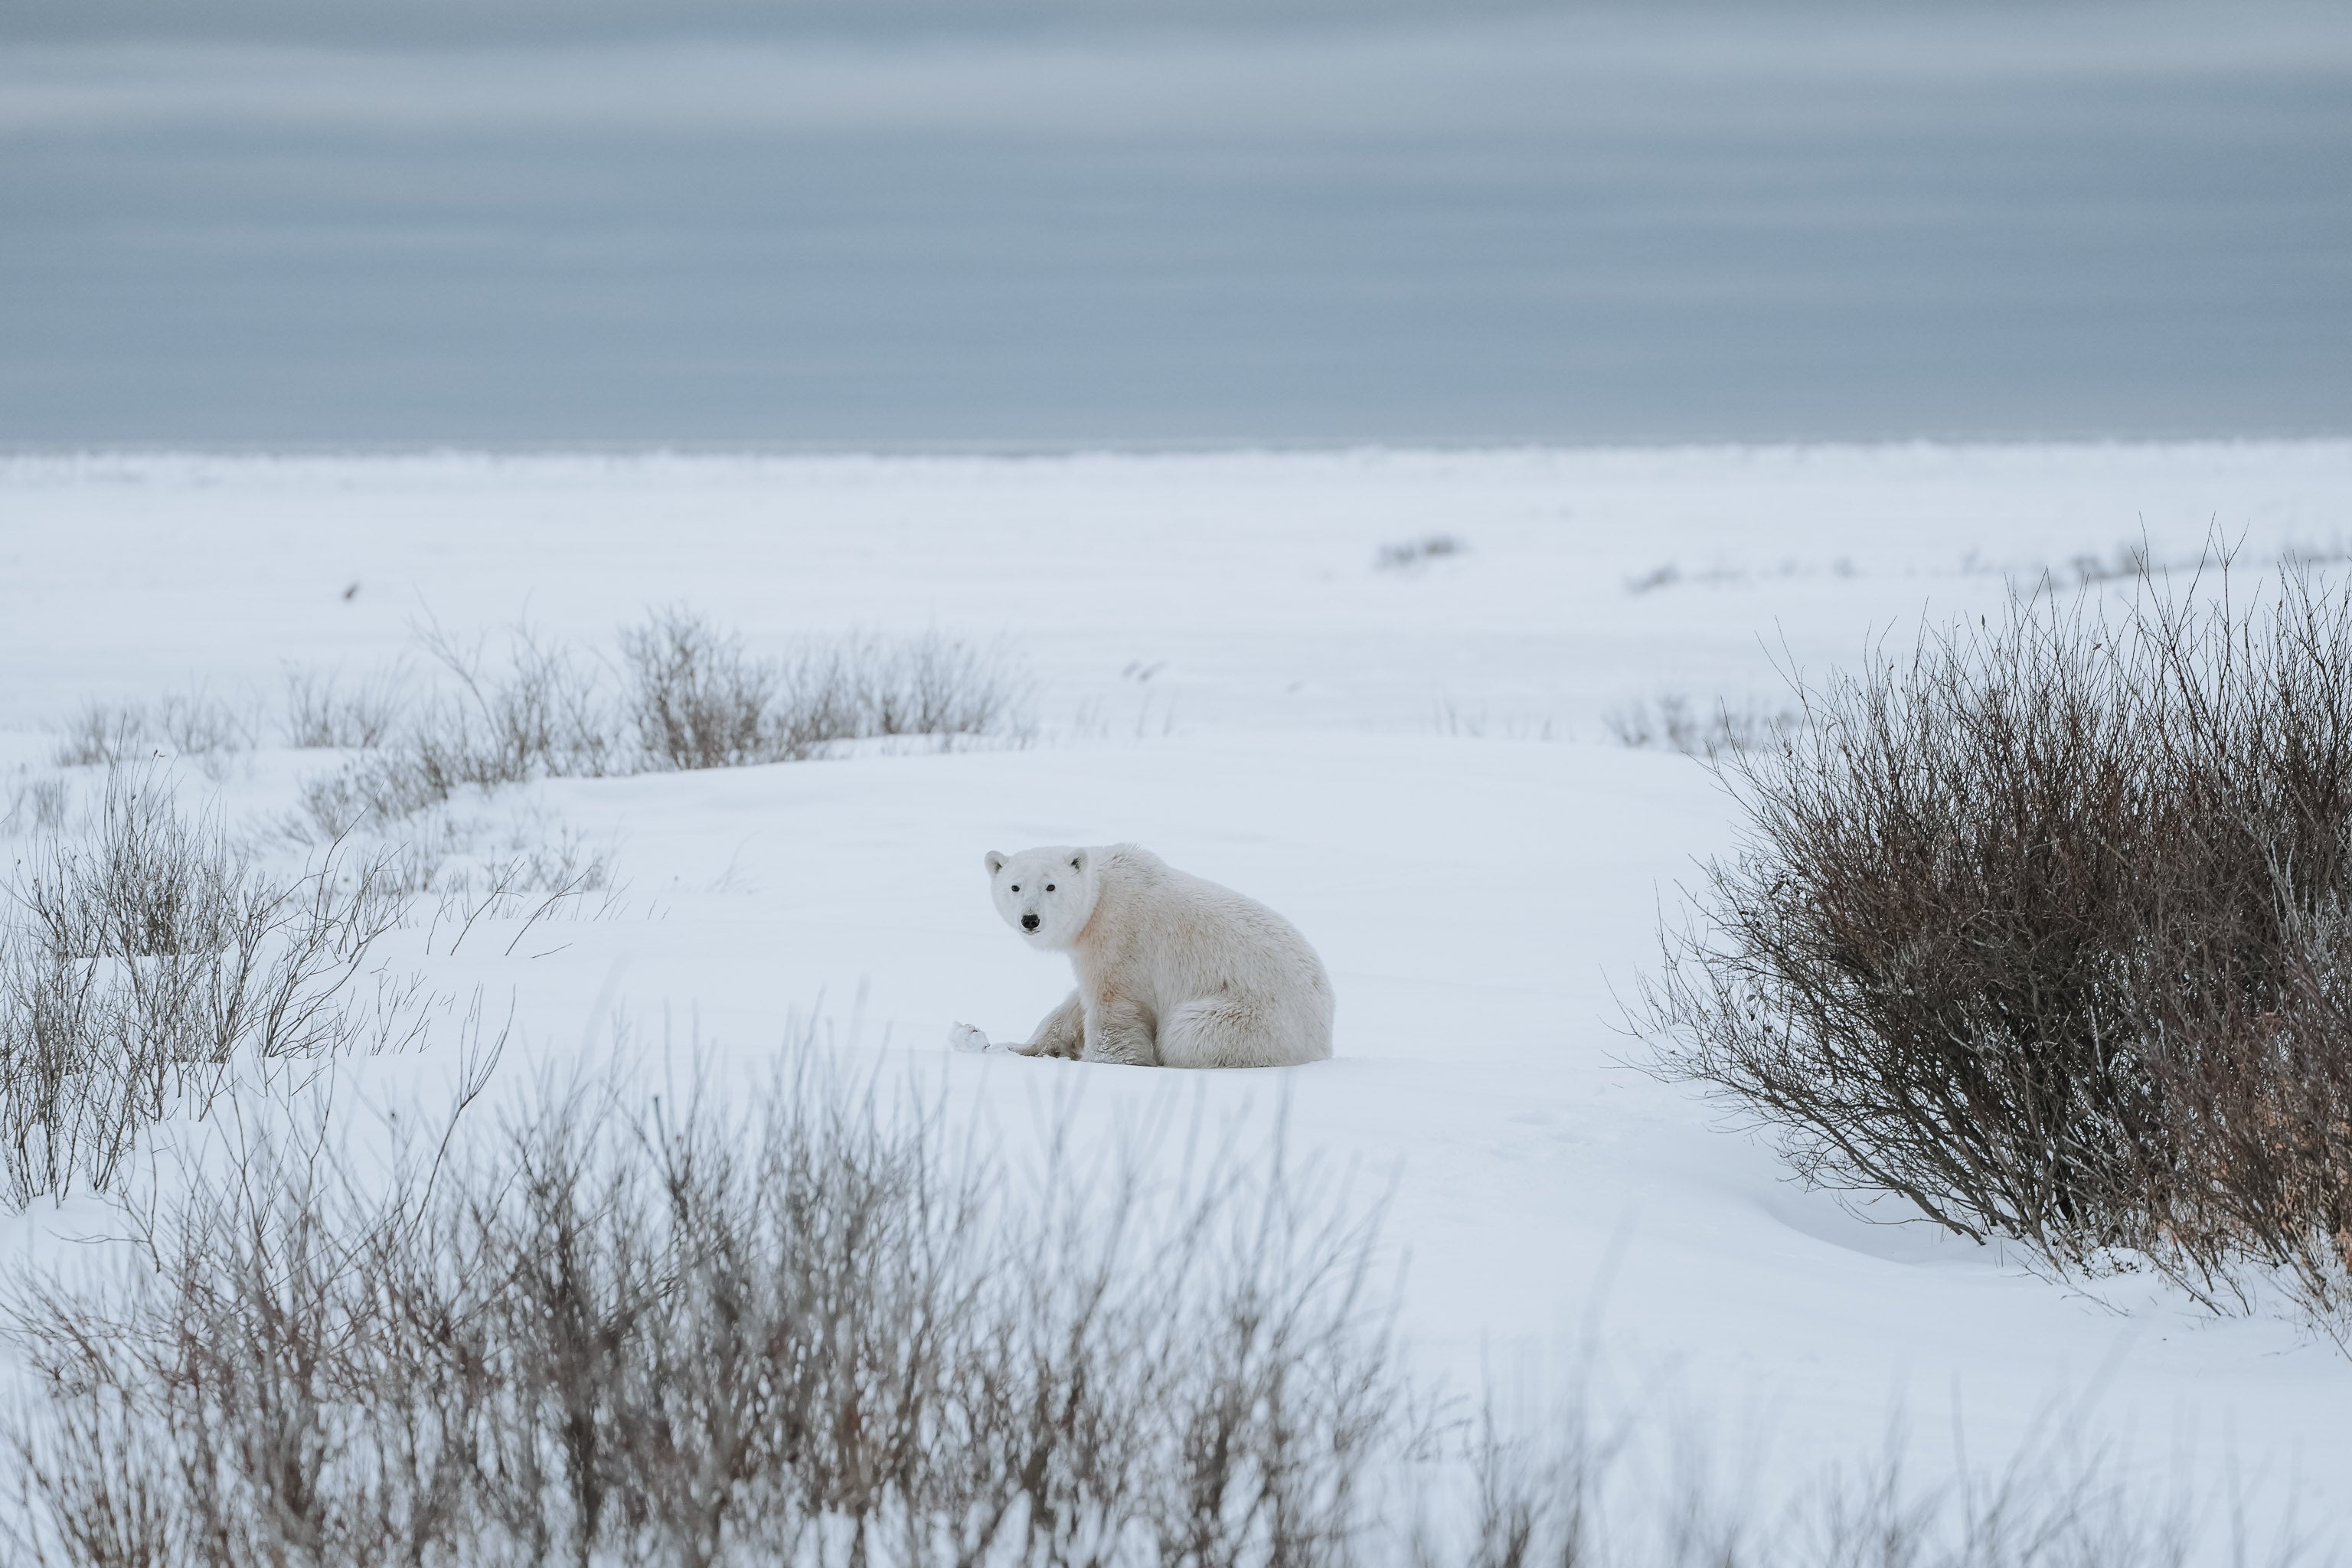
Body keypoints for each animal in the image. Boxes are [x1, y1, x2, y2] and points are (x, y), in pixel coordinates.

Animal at [949, 843, 1334, 1068]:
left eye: (1051, 886)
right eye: (1015, 886)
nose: (1030, 920)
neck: (1100, 897)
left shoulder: (1121, 938)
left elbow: (1113, 1007)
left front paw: (1103, 1060)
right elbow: (1074, 1006)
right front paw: (1004, 1044)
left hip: (1255, 1016)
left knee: (1188, 1032)